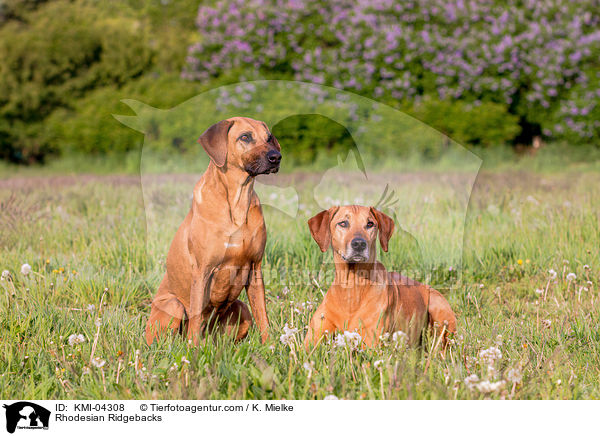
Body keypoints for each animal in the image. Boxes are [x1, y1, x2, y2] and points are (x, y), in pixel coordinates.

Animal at [148, 117, 284, 346]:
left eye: (268, 138)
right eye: (245, 137)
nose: (276, 157)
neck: (238, 200)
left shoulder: (255, 268)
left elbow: (263, 316)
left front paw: (271, 346)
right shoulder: (202, 270)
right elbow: (195, 317)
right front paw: (193, 350)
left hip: (241, 309)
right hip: (173, 305)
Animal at [304, 206, 454, 350]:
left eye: (370, 224)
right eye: (343, 223)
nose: (359, 244)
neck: (351, 286)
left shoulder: (370, 344)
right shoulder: (310, 342)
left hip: (439, 308)